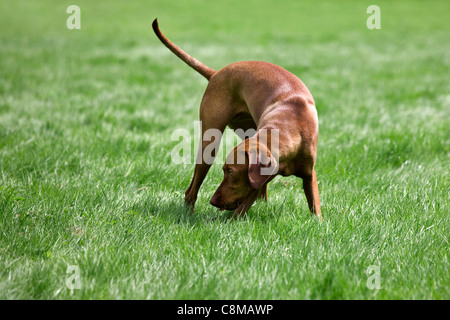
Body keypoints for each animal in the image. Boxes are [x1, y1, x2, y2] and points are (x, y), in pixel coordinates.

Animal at [153, 19, 322, 220]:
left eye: (231, 172)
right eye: (225, 171)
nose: (213, 201)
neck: (291, 123)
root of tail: (216, 73)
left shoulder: (308, 174)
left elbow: (315, 209)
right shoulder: (258, 178)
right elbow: (242, 208)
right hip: (209, 145)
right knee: (191, 190)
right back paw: (189, 214)